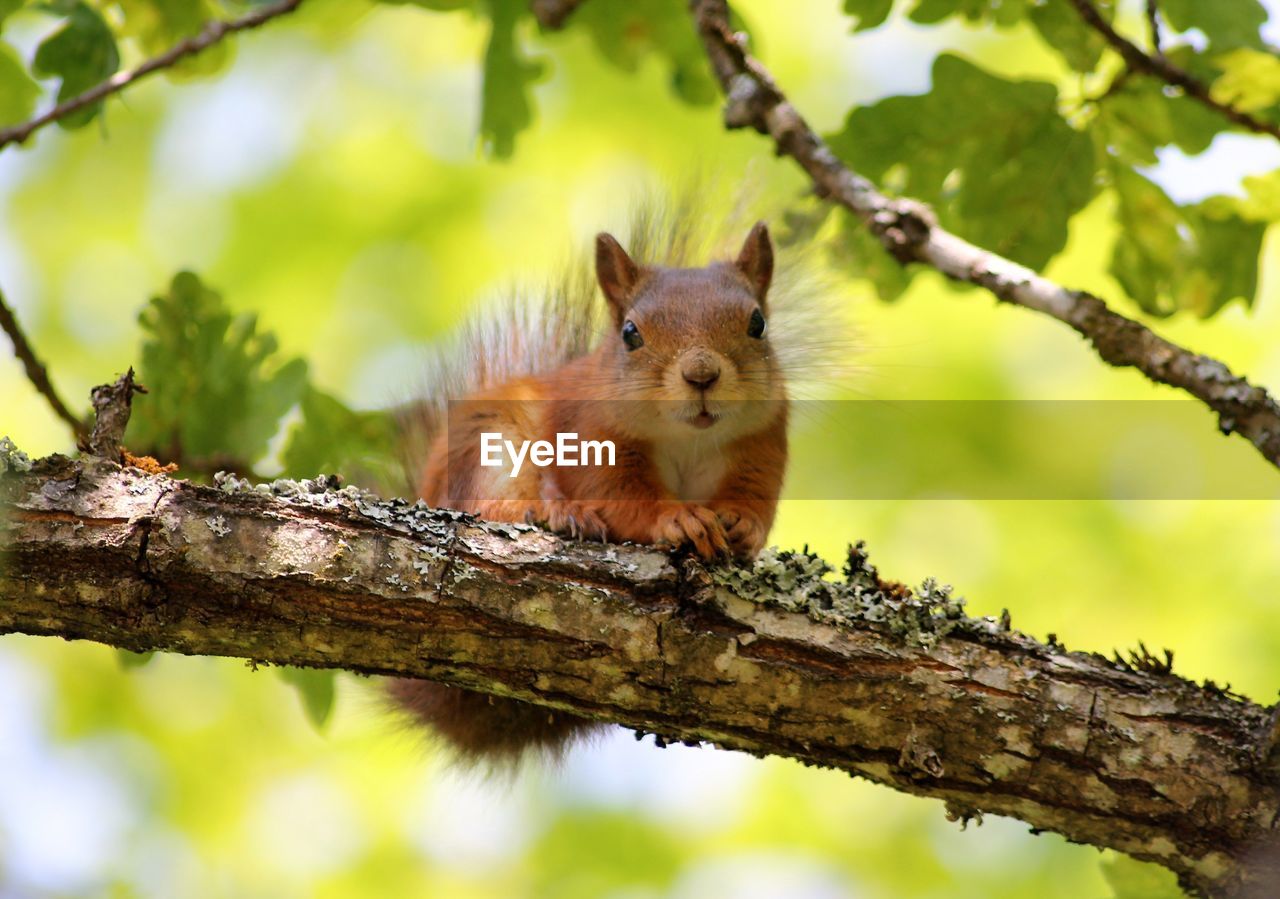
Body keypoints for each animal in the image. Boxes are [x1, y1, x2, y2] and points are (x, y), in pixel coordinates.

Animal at [389, 212, 788, 768]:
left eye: (758, 324)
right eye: (630, 334)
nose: (701, 374)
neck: (688, 438)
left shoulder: (762, 448)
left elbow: (754, 501)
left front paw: (743, 527)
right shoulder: (594, 440)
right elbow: (625, 498)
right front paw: (678, 519)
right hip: (490, 445)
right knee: (488, 506)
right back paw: (555, 513)